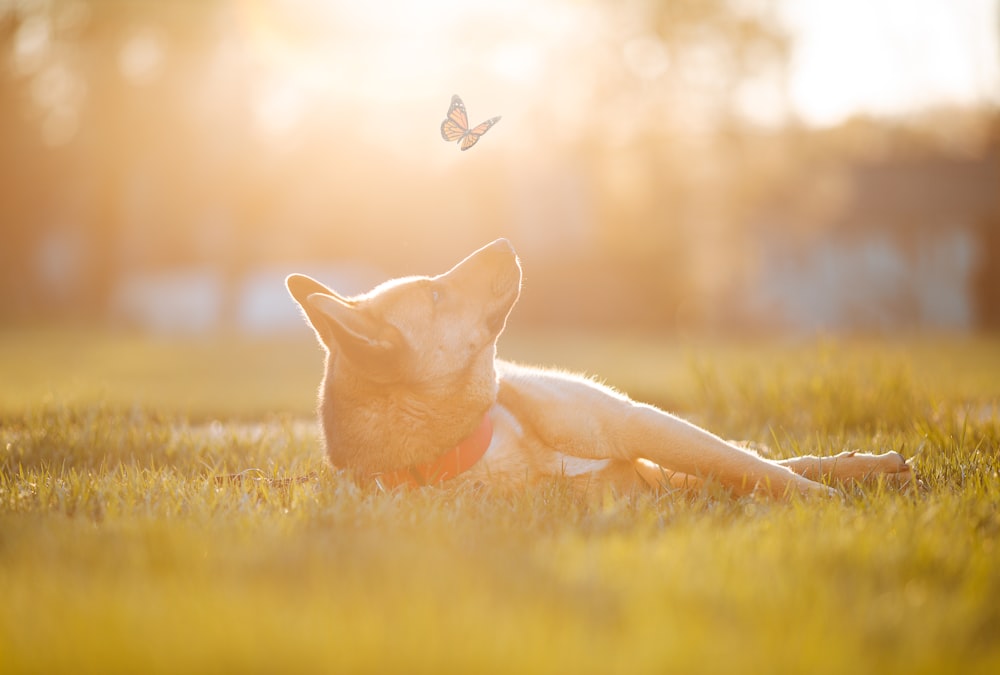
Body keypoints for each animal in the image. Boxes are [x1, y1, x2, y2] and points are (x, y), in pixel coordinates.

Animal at [288, 238, 916, 496]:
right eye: (436, 295)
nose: (504, 241)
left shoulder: (635, 423)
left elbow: (761, 469)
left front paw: (830, 497)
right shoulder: (644, 475)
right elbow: (755, 475)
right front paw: (829, 507)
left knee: (767, 456)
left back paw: (867, 464)